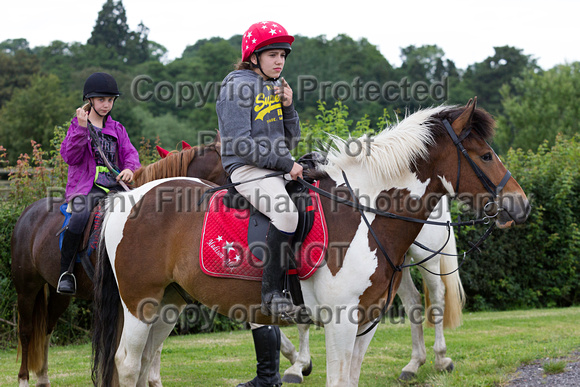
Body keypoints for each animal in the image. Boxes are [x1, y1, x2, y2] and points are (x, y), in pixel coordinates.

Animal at [10, 138, 222, 386]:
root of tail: (28, 214)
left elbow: (152, 348)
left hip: (58, 293)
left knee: (46, 328)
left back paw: (43, 377)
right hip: (26, 288)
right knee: (26, 331)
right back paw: (23, 379)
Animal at [90, 101, 532, 386]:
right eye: (486, 156)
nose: (521, 203)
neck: (363, 211)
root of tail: (126, 198)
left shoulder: (365, 322)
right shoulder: (338, 321)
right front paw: (295, 366)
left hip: (169, 303)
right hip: (142, 303)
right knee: (129, 364)